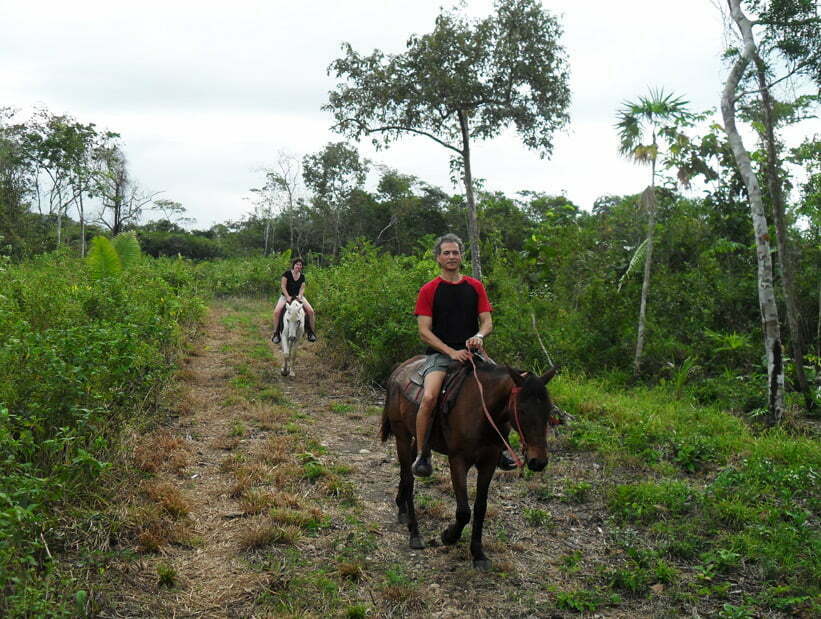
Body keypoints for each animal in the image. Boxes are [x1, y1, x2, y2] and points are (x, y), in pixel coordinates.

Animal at [380, 356, 556, 568]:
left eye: (548, 410)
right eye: (521, 410)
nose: (538, 461)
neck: (482, 411)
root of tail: (400, 368)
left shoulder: (488, 462)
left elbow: (480, 508)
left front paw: (478, 553)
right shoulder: (458, 461)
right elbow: (464, 511)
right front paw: (449, 536)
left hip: (416, 437)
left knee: (408, 470)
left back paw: (402, 508)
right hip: (402, 435)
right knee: (408, 477)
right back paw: (414, 533)